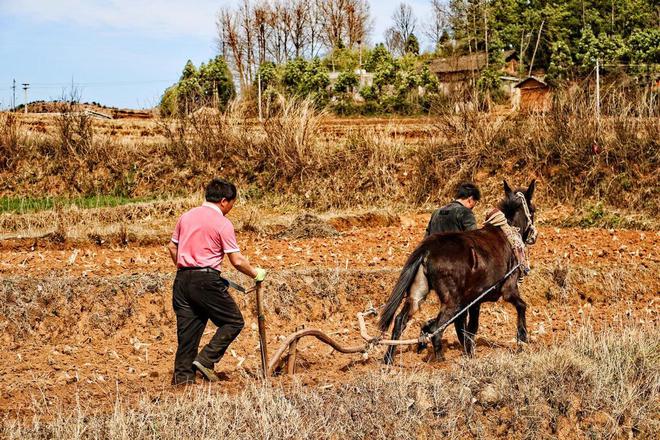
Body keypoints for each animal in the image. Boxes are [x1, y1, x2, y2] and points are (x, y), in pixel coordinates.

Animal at [378, 180, 540, 364]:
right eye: (533, 209)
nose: (533, 237)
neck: (507, 232)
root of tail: (428, 248)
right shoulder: (508, 289)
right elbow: (521, 306)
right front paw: (522, 339)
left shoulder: (475, 301)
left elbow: (470, 328)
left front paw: (469, 352)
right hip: (453, 302)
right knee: (437, 328)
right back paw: (440, 360)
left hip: (418, 295)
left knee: (400, 321)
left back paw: (389, 358)